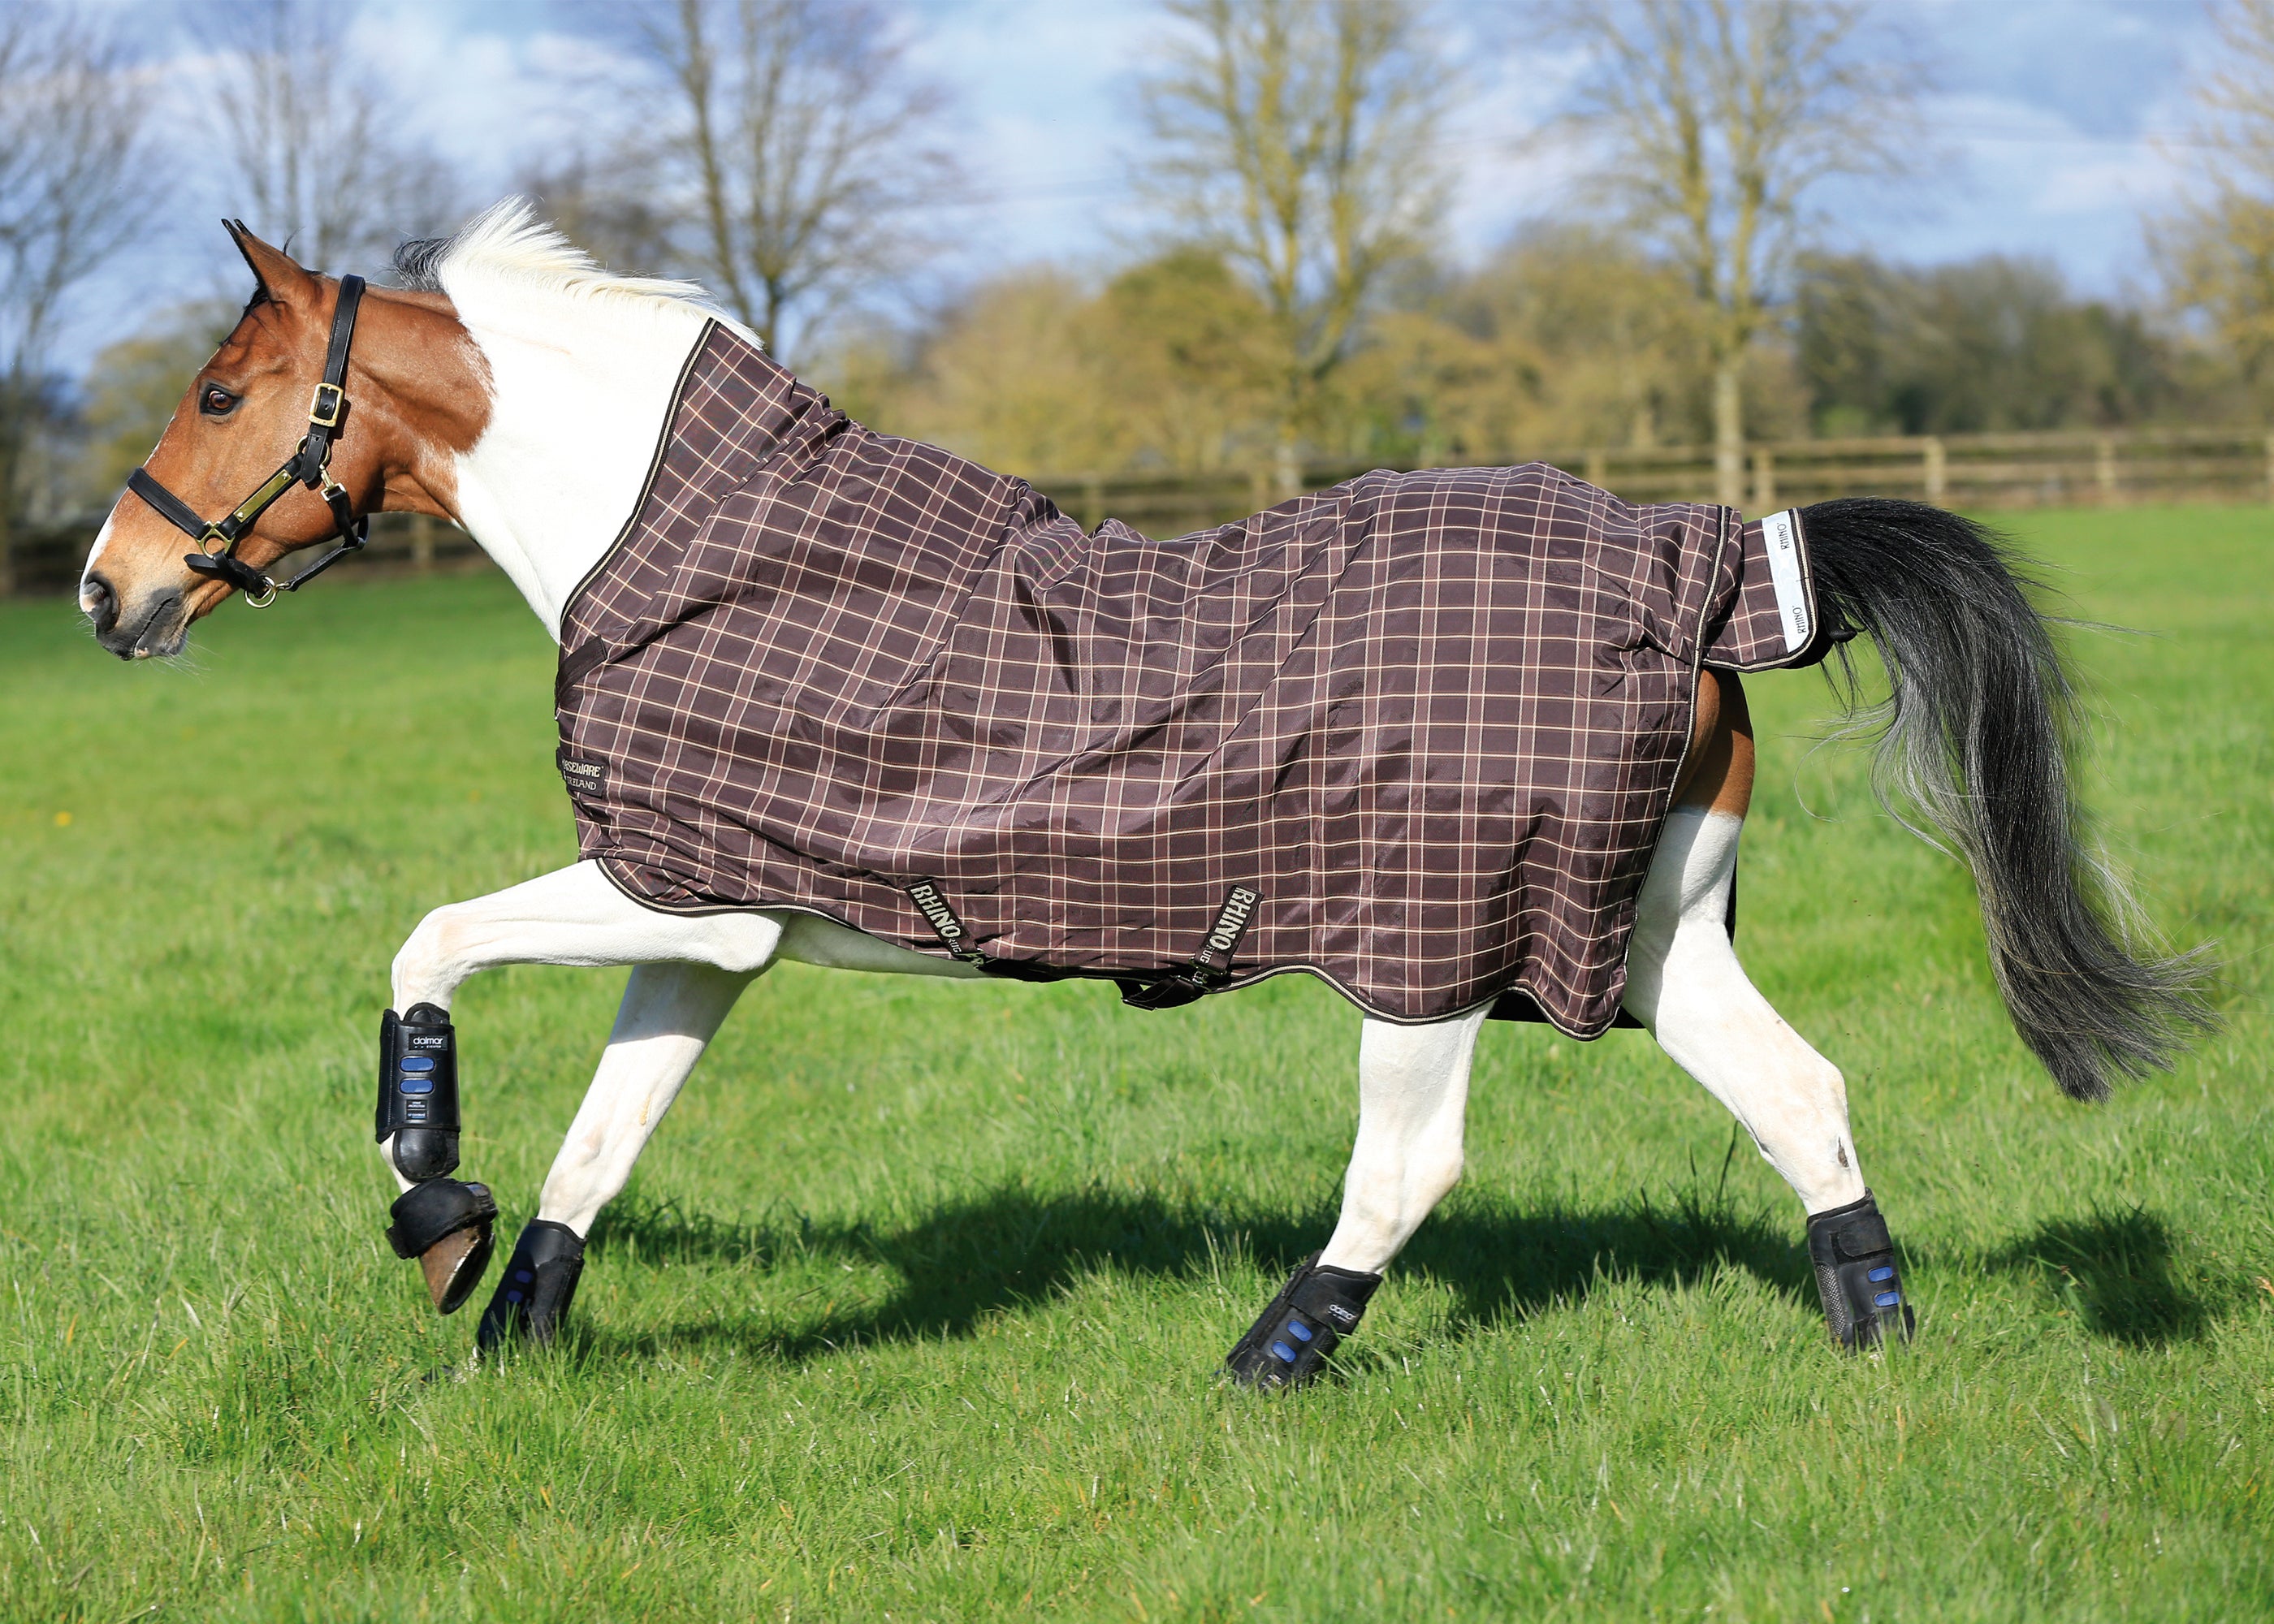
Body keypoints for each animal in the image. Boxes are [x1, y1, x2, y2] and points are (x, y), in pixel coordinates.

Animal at [78, 203, 2211, 1383]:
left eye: (215, 389)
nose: (108, 587)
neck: (708, 558)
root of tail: (1707, 567)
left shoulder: (669, 888)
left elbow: (424, 938)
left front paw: (426, 1196)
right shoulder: (714, 927)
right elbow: (604, 1143)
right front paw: (504, 1314)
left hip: (1431, 947)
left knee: (1412, 1165)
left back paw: (1269, 1356)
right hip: (1648, 937)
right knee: (1803, 1095)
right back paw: (1877, 1338)